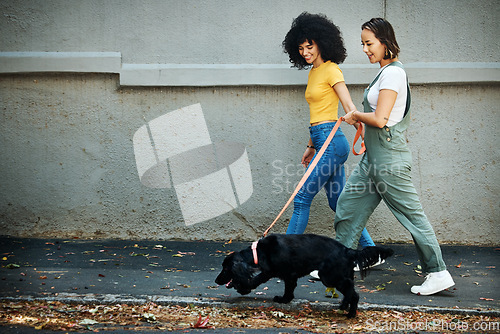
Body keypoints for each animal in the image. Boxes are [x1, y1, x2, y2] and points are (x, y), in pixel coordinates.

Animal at [216, 234, 394, 318]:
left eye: (225, 268)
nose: (216, 280)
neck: (258, 251)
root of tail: (348, 250)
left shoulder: (273, 271)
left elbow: (257, 279)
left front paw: (243, 288)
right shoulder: (289, 275)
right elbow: (289, 289)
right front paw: (285, 299)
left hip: (328, 276)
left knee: (352, 291)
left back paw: (348, 310)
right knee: (351, 291)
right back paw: (347, 309)